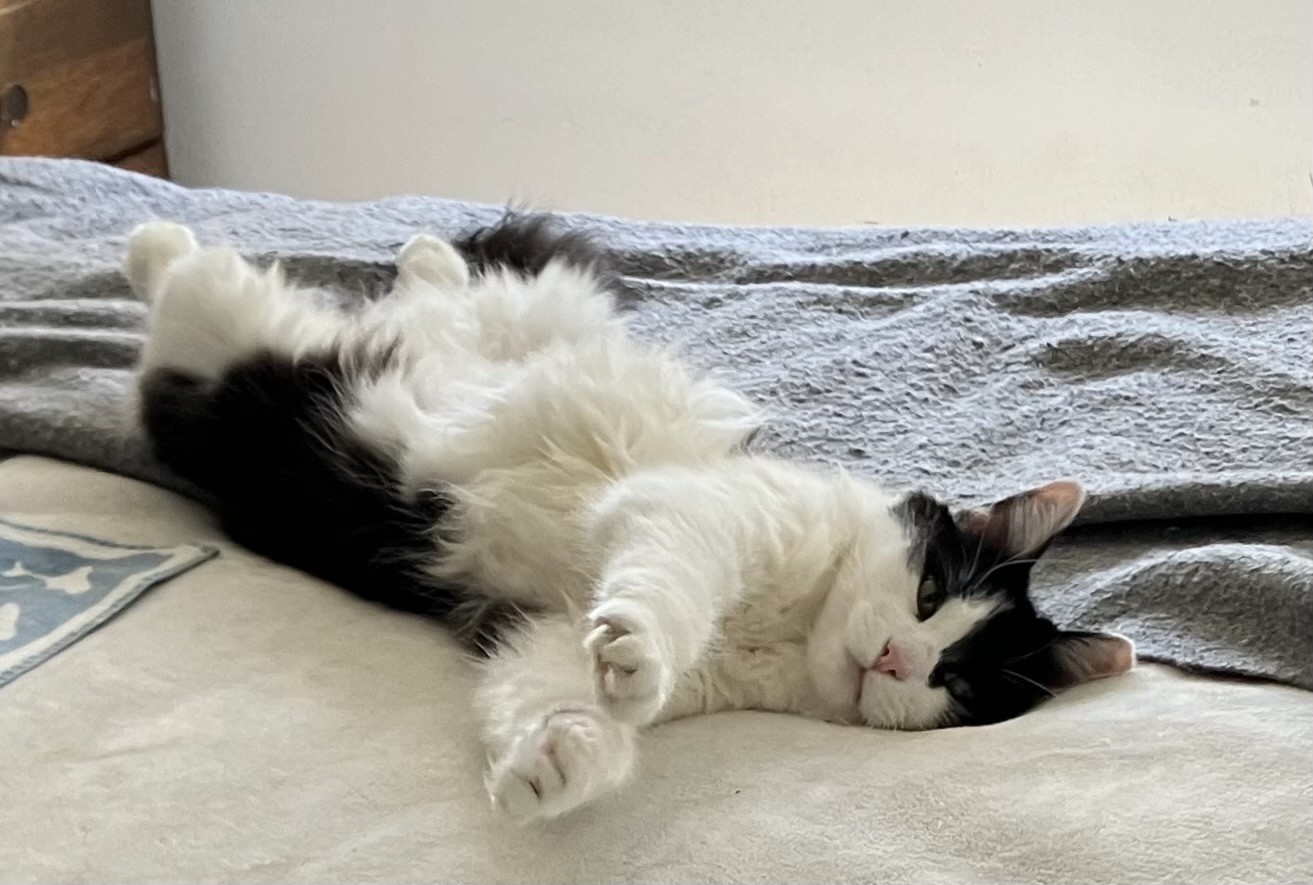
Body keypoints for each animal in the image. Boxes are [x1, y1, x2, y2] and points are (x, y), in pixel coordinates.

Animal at [120, 214, 1129, 819]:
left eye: (954, 683)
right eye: (926, 594)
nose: (894, 658)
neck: (786, 631)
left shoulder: (545, 631)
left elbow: (557, 697)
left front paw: (552, 764)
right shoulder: (693, 512)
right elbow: (665, 591)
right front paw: (639, 649)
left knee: (434, 283)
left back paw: (412, 253)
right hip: (271, 326)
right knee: (202, 272)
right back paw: (151, 236)